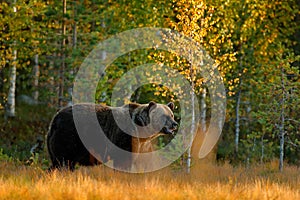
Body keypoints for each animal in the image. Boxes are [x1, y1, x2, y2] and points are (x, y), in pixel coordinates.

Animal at [47, 101, 178, 170]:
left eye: (171, 115)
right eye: (164, 116)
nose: (174, 124)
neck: (142, 131)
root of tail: (55, 118)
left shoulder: (143, 145)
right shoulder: (124, 137)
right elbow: (123, 160)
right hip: (69, 137)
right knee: (63, 161)